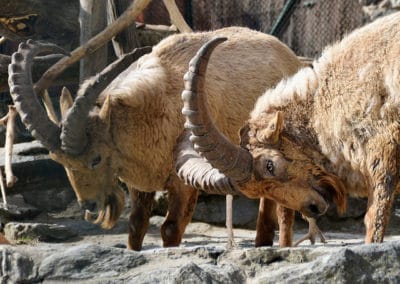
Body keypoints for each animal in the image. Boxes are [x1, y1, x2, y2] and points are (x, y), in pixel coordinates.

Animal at [7, 26, 328, 248]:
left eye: (96, 158)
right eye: (58, 160)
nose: (90, 207)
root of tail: (293, 59)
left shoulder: (182, 181)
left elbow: (170, 229)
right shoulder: (140, 183)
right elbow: (136, 226)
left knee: (283, 211)